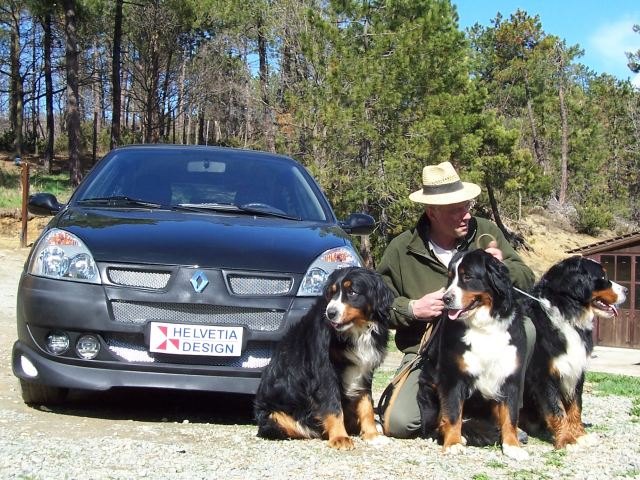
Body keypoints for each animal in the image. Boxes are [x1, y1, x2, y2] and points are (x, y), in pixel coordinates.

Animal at [254, 266, 394, 449]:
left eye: (352, 292)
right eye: (332, 293)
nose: (330, 313)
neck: (357, 331)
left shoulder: (364, 370)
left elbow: (367, 405)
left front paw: (372, 435)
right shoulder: (325, 371)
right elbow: (333, 406)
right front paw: (340, 437)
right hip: (275, 416)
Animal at [418, 249, 528, 460]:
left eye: (467, 277)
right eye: (450, 277)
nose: (445, 299)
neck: (484, 326)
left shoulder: (510, 377)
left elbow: (510, 416)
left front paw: (512, 446)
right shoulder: (452, 377)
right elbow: (452, 414)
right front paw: (453, 443)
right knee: (440, 422)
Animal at [520, 256, 627, 449]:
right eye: (603, 277)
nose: (627, 290)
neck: (567, 315)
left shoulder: (575, 371)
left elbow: (575, 406)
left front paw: (580, 434)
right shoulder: (543, 375)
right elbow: (556, 409)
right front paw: (567, 439)